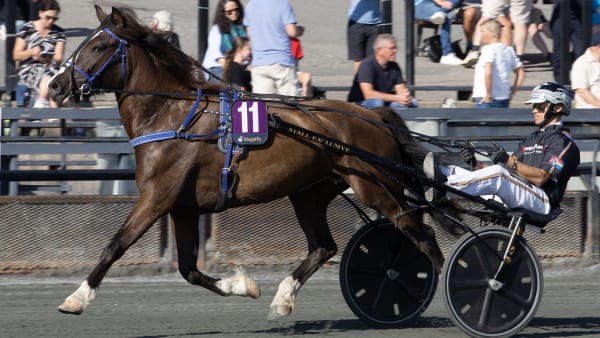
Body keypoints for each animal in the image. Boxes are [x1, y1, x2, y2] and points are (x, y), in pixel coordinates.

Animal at [49, 5, 454, 320]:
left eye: (98, 45)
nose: (55, 85)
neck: (170, 116)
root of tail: (375, 115)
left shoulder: (157, 197)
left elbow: (115, 245)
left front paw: (76, 298)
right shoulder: (183, 207)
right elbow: (188, 269)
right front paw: (243, 286)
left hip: (376, 187)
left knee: (419, 232)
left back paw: (454, 287)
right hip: (310, 193)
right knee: (325, 246)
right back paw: (283, 297)